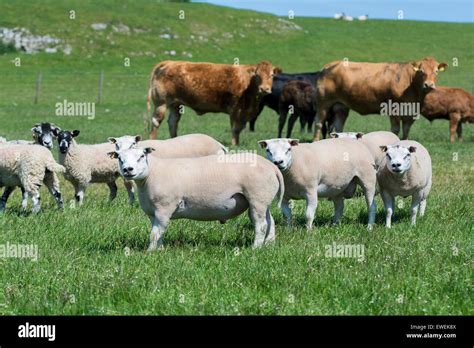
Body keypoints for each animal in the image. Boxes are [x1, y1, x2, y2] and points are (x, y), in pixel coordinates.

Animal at [109, 147, 284, 250]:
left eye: (141, 156)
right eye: (120, 158)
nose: (128, 169)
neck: (151, 174)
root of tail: (272, 167)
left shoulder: (164, 208)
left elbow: (155, 234)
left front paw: (150, 253)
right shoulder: (153, 213)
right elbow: (158, 233)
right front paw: (159, 250)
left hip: (257, 198)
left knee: (261, 225)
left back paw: (255, 248)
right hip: (263, 200)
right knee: (270, 221)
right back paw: (269, 244)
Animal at [144, 60, 278, 145]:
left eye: (272, 75)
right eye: (257, 75)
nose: (264, 89)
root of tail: (168, 62)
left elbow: (239, 128)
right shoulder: (235, 109)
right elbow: (235, 128)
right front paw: (234, 145)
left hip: (176, 104)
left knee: (173, 122)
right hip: (161, 103)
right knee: (156, 122)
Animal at [314, 57, 448, 140]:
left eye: (436, 71)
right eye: (421, 71)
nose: (429, 85)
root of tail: (329, 66)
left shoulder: (411, 112)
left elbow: (406, 130)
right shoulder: (394, 109)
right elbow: (395, 130)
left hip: (341, 105)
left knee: (338, 125)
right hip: (323, 103)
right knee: (318, 123)